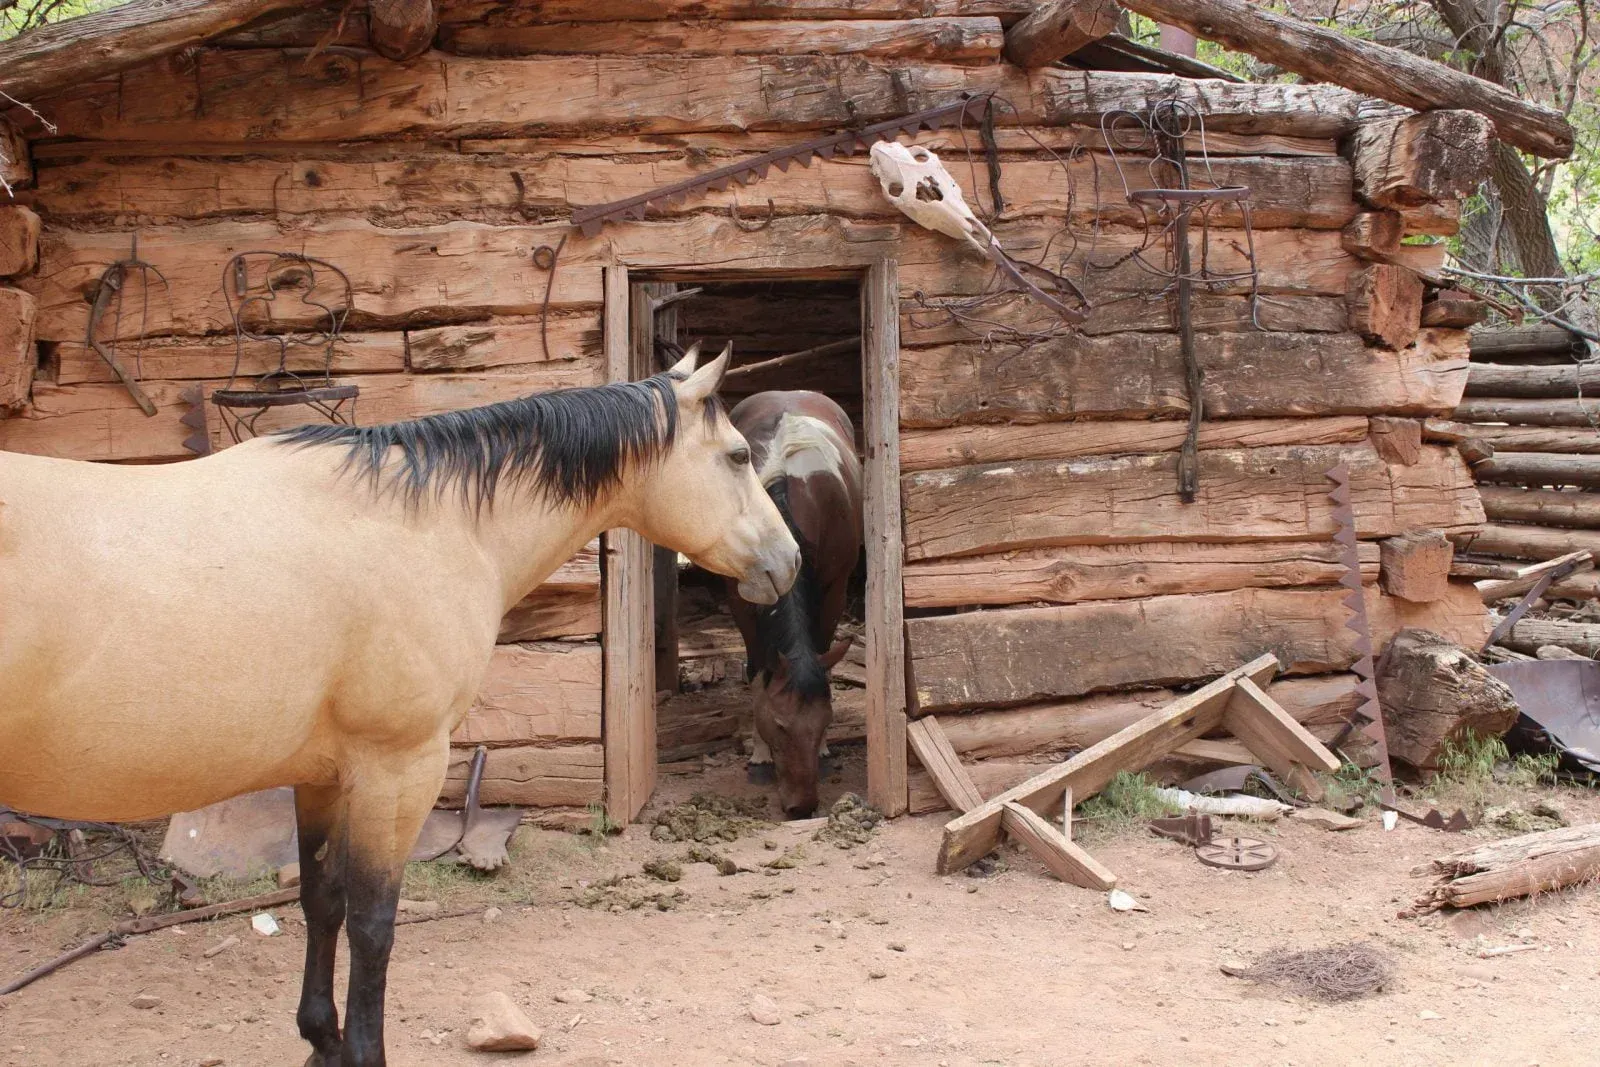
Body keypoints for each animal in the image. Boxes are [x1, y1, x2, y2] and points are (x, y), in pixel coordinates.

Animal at [0, 344, 798, 1067]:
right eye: (736, 455)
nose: (788, 561)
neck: (426, 523)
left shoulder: (323, 775)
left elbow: (321, 901)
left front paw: (322, 1039)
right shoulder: (399, 769)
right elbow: (373, 924)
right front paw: (360, 1050)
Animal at [724, 390, 864, 819]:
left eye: (823, 722)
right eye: (780, 725)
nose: (803, 807)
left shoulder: (835, 588)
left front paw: (826, 750)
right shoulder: (740, 597)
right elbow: (758, 669)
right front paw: (759, 757)